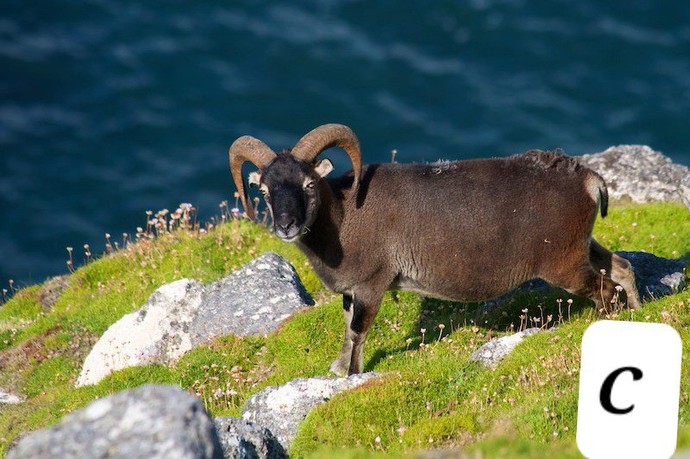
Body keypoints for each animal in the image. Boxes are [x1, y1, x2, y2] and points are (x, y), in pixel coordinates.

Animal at [229, 123, 642, 376]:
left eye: (309, 184)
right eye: (264, 190)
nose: (285, 225)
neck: (343, 220)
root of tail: (589, 180)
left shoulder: (372, 285)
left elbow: (358, 331)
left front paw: (352, 376)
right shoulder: (352, 291)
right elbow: (347, 329)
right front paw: (337, 370)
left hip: (564, 263)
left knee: (604, 289)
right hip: (581, 246)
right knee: (621, 267)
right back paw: (640, 310)